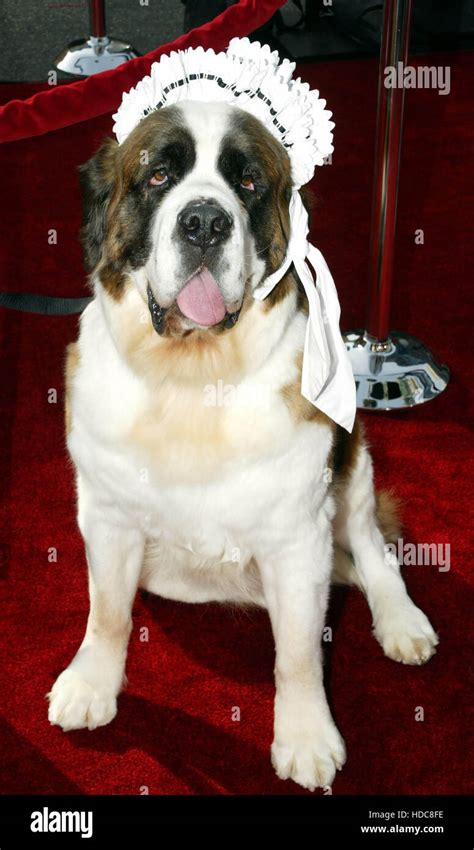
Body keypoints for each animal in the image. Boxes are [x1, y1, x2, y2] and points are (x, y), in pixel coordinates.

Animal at [47, 99, 436, 788]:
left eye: (249, 182)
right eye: (158, 176)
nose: (204, 221)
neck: (193, 374)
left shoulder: (299, 534)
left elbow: (300, 653)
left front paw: (306, 736)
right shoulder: (108, 515)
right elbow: (107, 611)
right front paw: (91, 683)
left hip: (354, 464)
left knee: (372, 547)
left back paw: (401, 620)